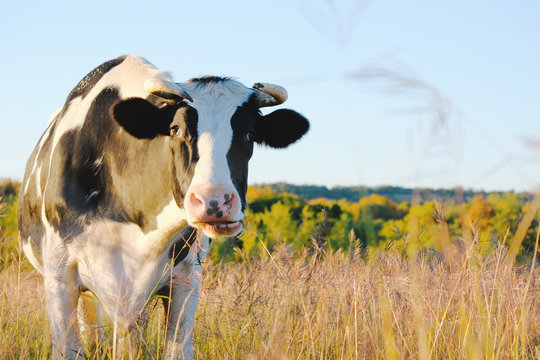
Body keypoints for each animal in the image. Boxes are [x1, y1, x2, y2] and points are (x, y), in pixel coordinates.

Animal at [17, 54, 308, 358]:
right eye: (175, 129)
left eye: (250, 134)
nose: (214, 201)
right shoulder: (60, 277)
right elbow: (69, 350)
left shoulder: (187, 277)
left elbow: (175, 349)